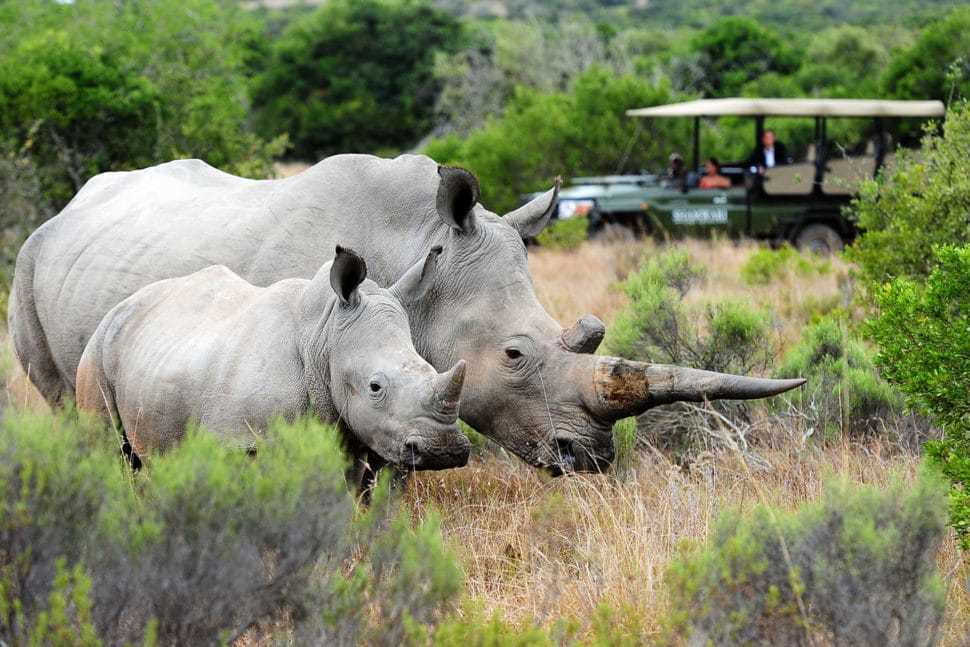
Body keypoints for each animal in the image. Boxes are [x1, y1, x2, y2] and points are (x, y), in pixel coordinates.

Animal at [75, 246, 468, 484]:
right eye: (375, 387)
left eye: (430, 368)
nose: (444, 449)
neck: (323, 336)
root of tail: (119, 307)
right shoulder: (239, 440)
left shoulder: (347, 436)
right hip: (97, 350)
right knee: (108, 449)